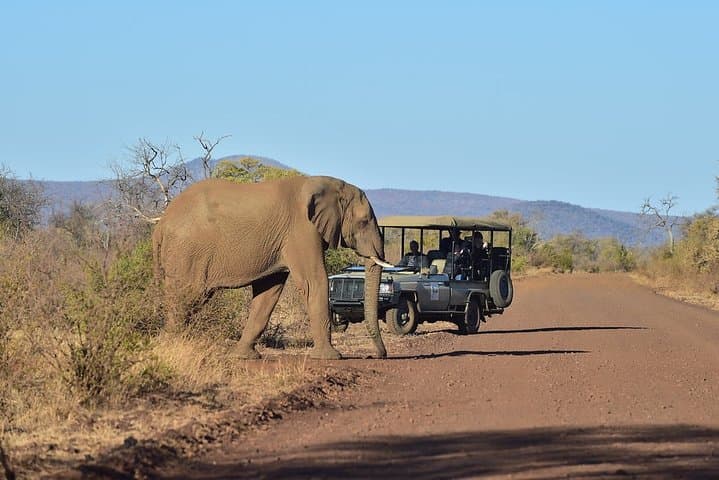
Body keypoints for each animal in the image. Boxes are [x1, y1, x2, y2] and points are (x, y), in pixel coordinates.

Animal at [151, 175, 391, 360]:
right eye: (363, 222)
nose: (376, 356)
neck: (325, 183)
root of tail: (161, 224)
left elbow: (268, 292)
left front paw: (244, 356)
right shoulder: (302, 230)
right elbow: (315, 281)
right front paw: (331, 357)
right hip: (187, 253)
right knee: (186, 295)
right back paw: (172, 346)